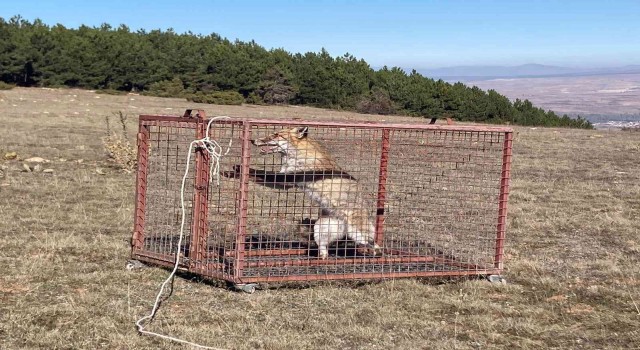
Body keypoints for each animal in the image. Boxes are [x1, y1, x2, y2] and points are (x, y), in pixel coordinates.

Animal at [249, 127, 380, 258]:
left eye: (276, 135)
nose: (252, 141)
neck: (298, 154)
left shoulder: (288, 177)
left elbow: (260, 172)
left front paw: (244, 169)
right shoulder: (286, 183)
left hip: (360, 234)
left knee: (374, 244)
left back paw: (377, 254)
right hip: (321, 228)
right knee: (324, 248)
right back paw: (321, 257)